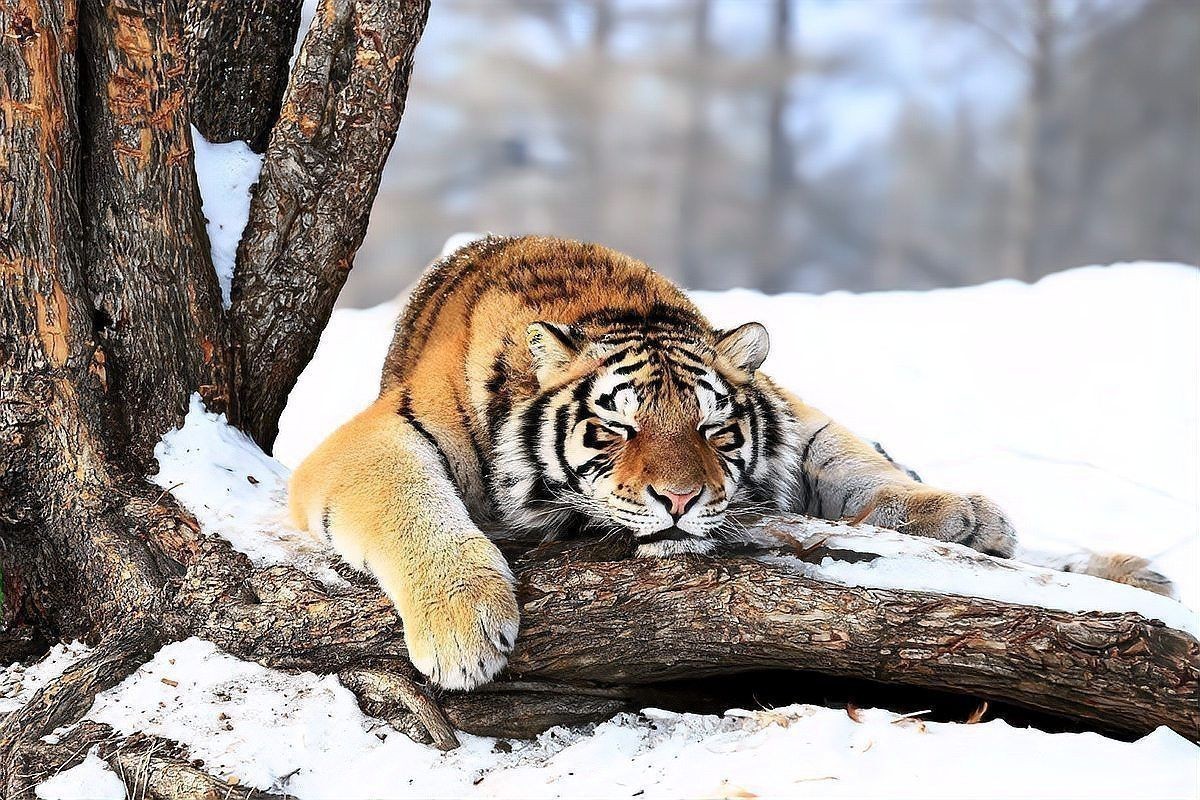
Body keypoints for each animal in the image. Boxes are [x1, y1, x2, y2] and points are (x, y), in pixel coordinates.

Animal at [289, 235, 1173, 691]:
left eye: (714, 431)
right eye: (615, 429)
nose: (680, 501)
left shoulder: (793, 419)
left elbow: (854, 462)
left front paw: (952, 514)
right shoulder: (371, 441)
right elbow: (413, 507)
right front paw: (463, 628)